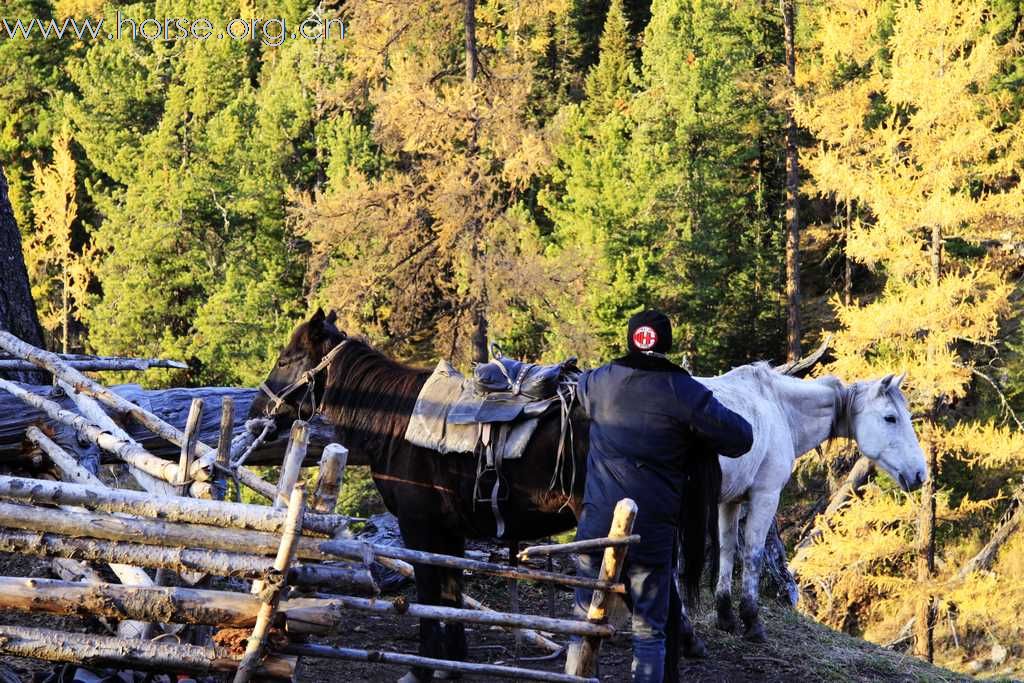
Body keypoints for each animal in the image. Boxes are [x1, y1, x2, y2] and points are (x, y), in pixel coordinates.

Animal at [251, 311, 720, 683]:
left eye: (285, 360)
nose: (258, 412)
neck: (397, 420)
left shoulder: (419, 529)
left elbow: (429, 598)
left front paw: (421, 670)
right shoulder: (448, 534)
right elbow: (449, 600)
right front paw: (449, 667)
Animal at [679, 362, 929, 647]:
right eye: (890, 418)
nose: (920, 474)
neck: (777, 408)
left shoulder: (731, 501)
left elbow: (727, 550)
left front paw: (726, 617)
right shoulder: (765, 496)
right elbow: (753, 554)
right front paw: (752, 621)